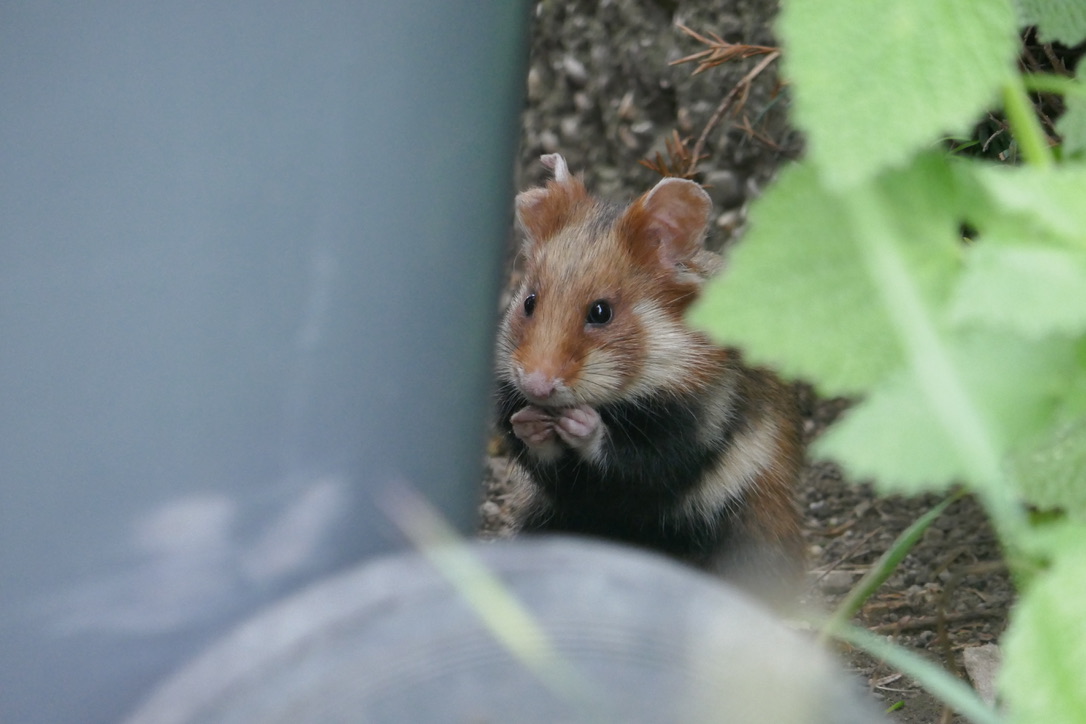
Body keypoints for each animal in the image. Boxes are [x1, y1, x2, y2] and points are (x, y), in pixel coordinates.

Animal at [495, 154, 807, 599]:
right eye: (529, 302)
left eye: (602, 312)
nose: (537, 386)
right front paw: (530, 422)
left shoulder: (692, 425)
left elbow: (638, 463)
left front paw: (581, 422)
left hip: (750, 520)